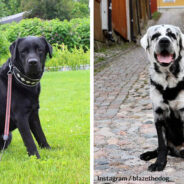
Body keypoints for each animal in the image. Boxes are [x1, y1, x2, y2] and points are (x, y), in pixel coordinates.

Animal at [140, 24, 184, 171]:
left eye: (172, 35)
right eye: (155, 36)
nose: (164, 41)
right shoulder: (159, 115)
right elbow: (162, 145)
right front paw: (159, 163)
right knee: (161, 148)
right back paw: (148, 154)